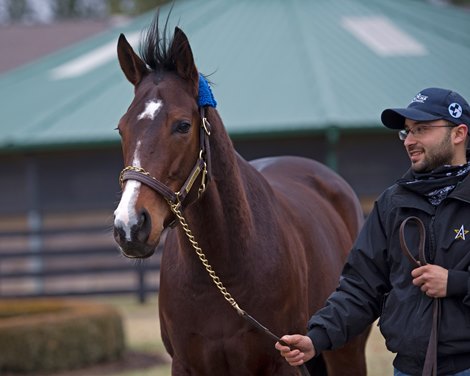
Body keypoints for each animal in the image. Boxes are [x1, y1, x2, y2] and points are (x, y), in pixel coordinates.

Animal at [113, 15, 368, 376]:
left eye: (182, 125)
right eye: (121, 128)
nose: (130, 225)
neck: (224, 270)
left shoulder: (284, 362)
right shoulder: (185, 365)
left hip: (347, 354)